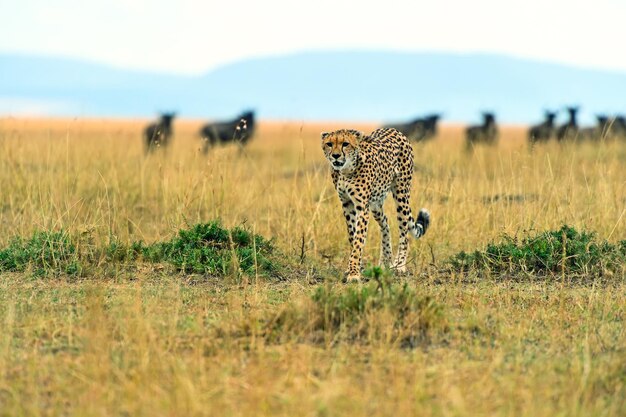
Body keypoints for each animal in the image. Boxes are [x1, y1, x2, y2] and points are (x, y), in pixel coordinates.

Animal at [322, 127, 428, 282]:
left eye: (345, 144)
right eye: (329, 144)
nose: (335, 156)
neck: (346, 170)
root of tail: (395, 130)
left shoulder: (362, 207)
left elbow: (359, 239)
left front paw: (354, 273)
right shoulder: (347, 204)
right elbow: (352, 236)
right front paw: (355, 268)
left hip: (401, 195)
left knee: (404, 231)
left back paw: (399, 265)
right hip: (376, 205)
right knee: (385, 223)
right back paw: (386, 262)